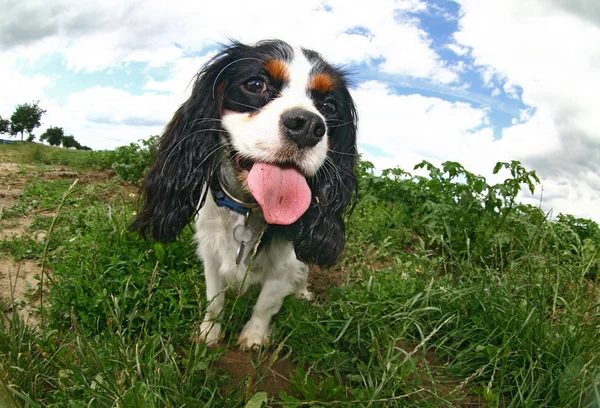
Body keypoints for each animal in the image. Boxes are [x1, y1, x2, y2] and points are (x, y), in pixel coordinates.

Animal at [131, 39, 356, 350]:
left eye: (329, 105)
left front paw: (254, 337)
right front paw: (209, 332)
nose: (309, 126)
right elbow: (214, 298)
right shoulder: (210, 251)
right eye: (255, 84)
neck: (249, 206)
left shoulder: (284, 262)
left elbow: (266, 301)